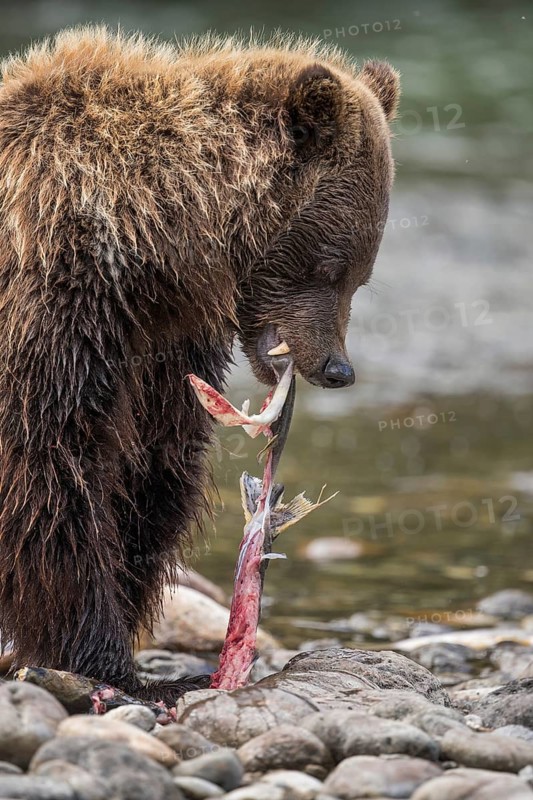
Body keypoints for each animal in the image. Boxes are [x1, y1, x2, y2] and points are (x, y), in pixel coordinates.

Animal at [0, 27, 399, 699]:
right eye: (331, 266)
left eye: (361, 277)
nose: (337, 369)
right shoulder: (54, 301)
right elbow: (51, 463)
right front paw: (100, 651)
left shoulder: (160, 340)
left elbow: (155, 462)